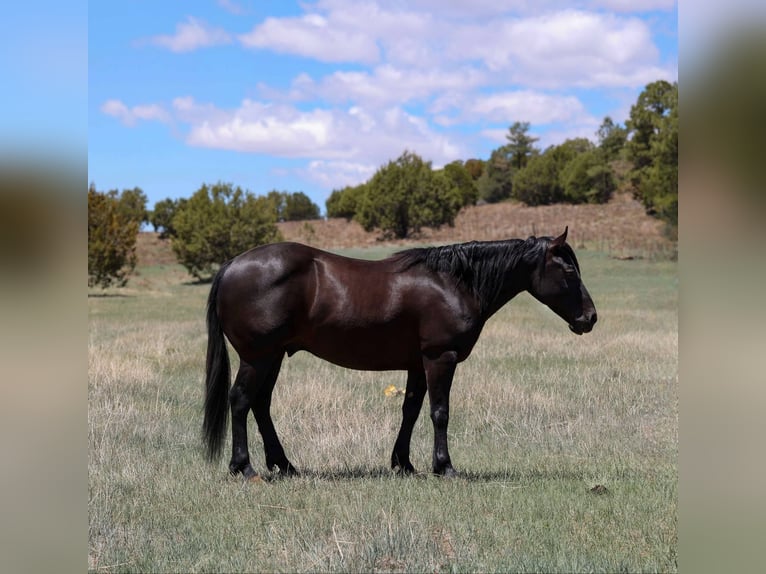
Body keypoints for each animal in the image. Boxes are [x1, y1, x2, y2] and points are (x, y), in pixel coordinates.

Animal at [203, 227, 597, 479]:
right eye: (569, 269)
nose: (590, 318)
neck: (452, 282)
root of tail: (232, 265)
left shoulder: (417, 364)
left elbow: (411, 410)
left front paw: (403, 464)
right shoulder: (440, 357)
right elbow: (440, 412)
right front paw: (444, 466)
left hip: (272, 356)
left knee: (260, 404)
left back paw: (284, 465)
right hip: (257, 357)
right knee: (241, 400)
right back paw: (244, 467)